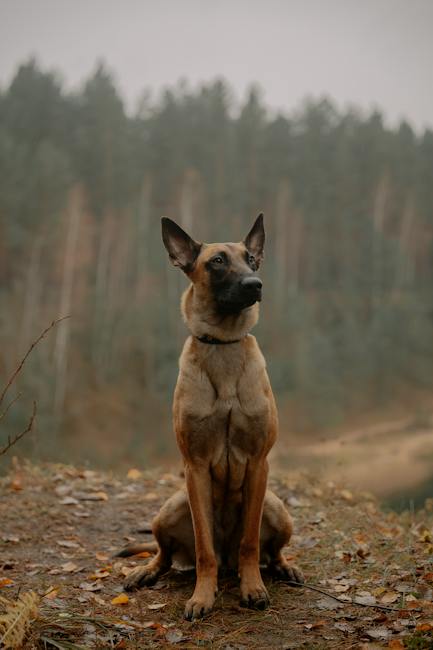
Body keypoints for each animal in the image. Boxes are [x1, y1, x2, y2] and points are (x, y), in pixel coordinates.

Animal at [116, 214, 302, 616]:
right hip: (172, 507)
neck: (224, 346)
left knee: (270, 551)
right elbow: (204, 548)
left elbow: (251, 541)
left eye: (251, 259)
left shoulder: (258, 464)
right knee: (165, 554)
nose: (255, 284)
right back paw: (146, 571)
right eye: (217, 261)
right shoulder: (196, 467)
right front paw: (203, 595)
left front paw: (252, 587)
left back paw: (282, 568)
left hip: (277, 508)